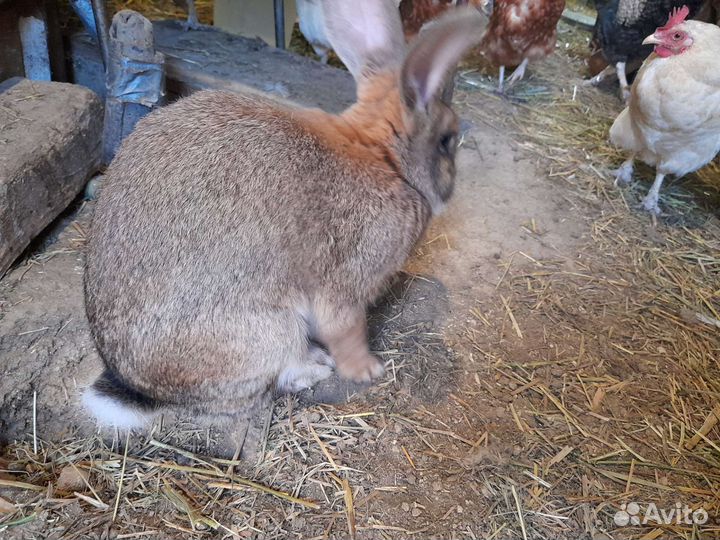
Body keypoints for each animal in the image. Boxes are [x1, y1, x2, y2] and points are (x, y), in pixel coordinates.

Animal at [82, 0, 488, 429]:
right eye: (447, 141)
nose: (451, 188)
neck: (384, 158)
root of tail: (141, 388)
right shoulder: (348, 278)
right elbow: (345, 328)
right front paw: (366, 370)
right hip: (270, 330)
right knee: (271, 380)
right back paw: (317, 367)